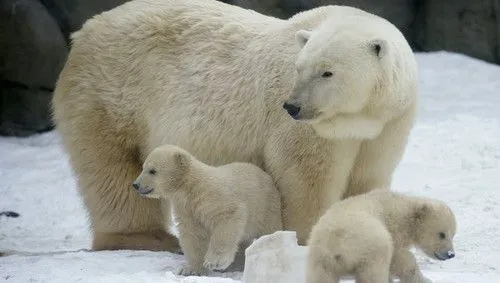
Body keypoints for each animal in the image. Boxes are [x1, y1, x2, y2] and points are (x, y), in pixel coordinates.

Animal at [50, 0, 418, 252]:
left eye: (327, 72)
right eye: (299, 68)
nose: (293, 106)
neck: (357, 116)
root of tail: (83, 32)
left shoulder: (388, 124)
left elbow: (367, 178)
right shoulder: (308, 129)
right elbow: (306, 177)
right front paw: (308, 237)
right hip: (110, 95)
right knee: (113, 167)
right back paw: (145, 237)